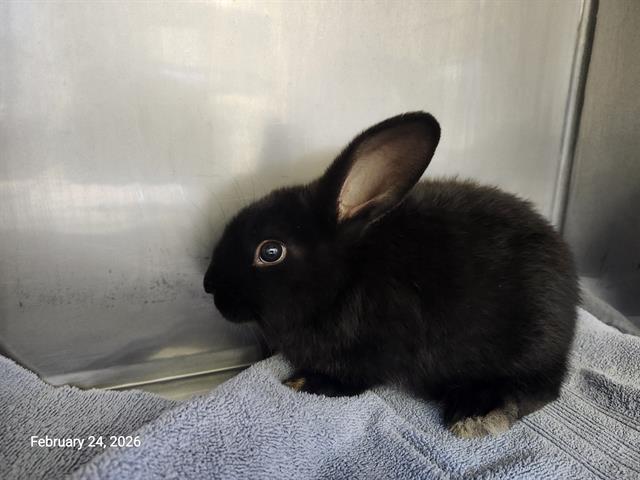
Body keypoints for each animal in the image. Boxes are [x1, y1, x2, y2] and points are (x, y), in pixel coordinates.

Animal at [203, 112, 579, 438]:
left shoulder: (375, 351)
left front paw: (305, 382)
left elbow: (354, 380)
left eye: (270, 252)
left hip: (529, 342)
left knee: (543, 386)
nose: (209, 286)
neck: (345, 278)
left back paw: (477, 413)